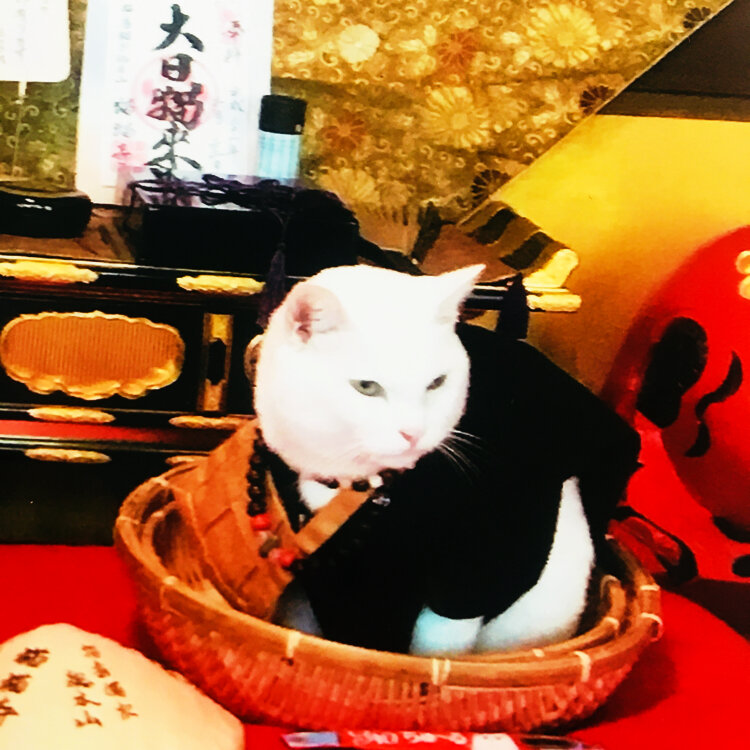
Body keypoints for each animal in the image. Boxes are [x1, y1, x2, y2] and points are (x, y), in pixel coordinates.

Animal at [253, 264, 640, 655]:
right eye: (366, 387)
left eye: (436, 383)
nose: (413, 432)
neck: (352, 486)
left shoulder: (467, 579)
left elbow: (435, 648)